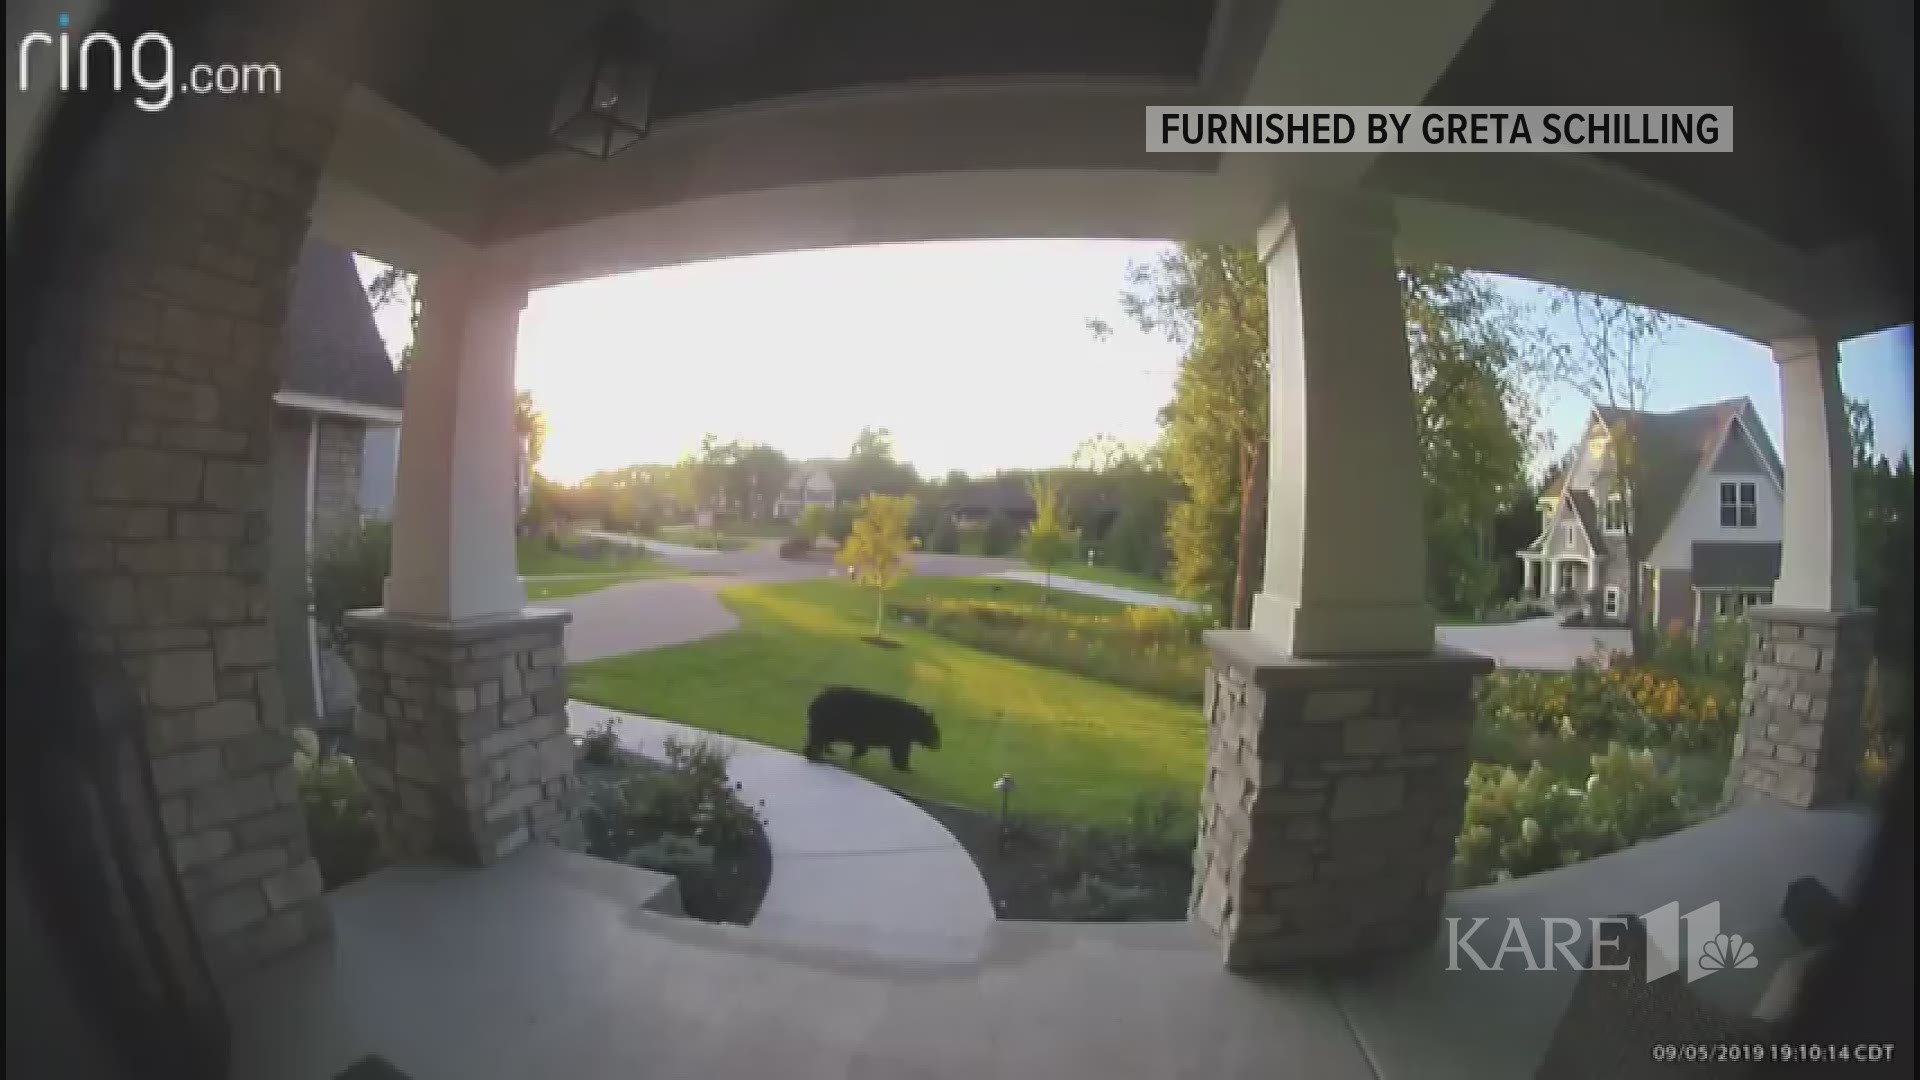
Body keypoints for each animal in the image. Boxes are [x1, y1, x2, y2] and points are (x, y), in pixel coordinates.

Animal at [798, 684, 940, 768]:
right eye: (935, 733)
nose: (938, 747)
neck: (916, 723)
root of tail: (815, 701)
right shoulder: (900, 733)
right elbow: (900, 750)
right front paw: (904, 767)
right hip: (829, 721)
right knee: (818, 738)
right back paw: (816, 755)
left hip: (830, 725)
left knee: (821, 738)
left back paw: (822, 752)